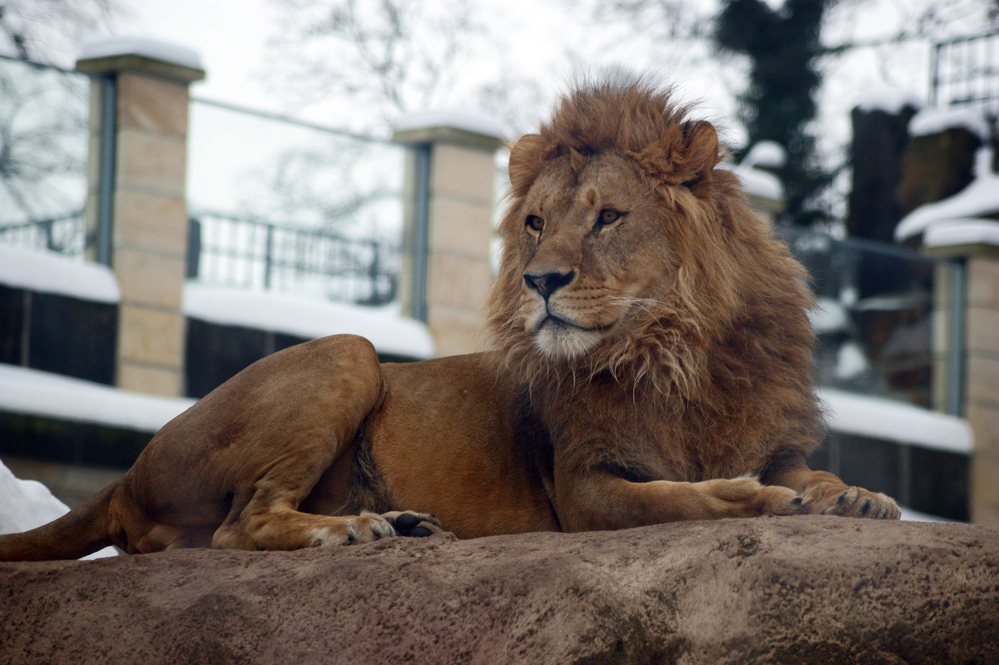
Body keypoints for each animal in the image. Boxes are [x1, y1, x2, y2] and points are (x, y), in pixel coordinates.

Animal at [0, 80, 900, 564]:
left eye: (607, 216)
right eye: (535, 223)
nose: (540, 280)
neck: (672, 351)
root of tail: (127, 473)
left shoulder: (766, 434)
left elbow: (808, 474)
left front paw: (857, 496)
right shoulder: (583, 487)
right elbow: (681, 500)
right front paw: (759, 500)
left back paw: (402, 522)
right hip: (349, 352)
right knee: (236, 524)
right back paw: (357, 527)